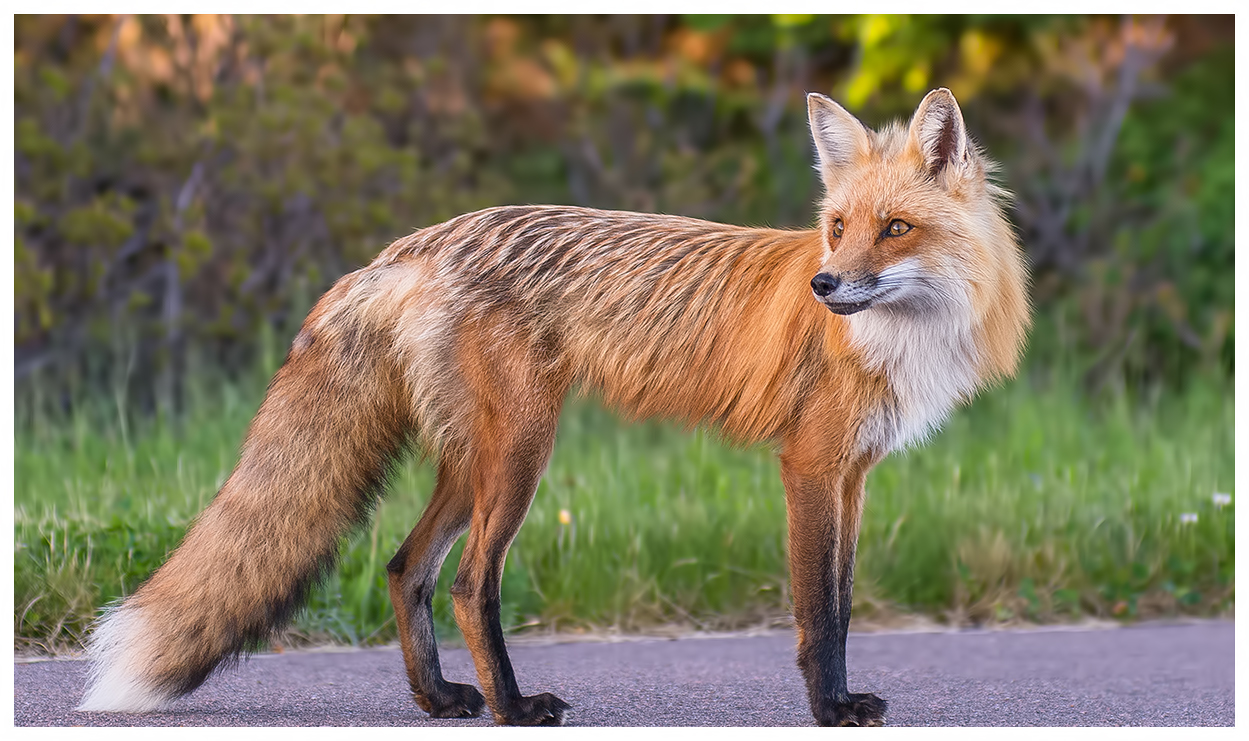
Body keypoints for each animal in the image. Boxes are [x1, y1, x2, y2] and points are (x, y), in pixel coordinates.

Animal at [77, 88, 1029, 726]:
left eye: (894, 228)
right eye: (836, 227)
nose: (824, 285)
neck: (902, 339)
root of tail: (409, 246)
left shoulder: (853, 473)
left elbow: (843, 595)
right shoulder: (808, 463)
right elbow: (818, 611)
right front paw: (829, 707)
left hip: (472, 461)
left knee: (404, 566)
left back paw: (439, 697)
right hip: (523, 452)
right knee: (469, 583)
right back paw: (512, 705)